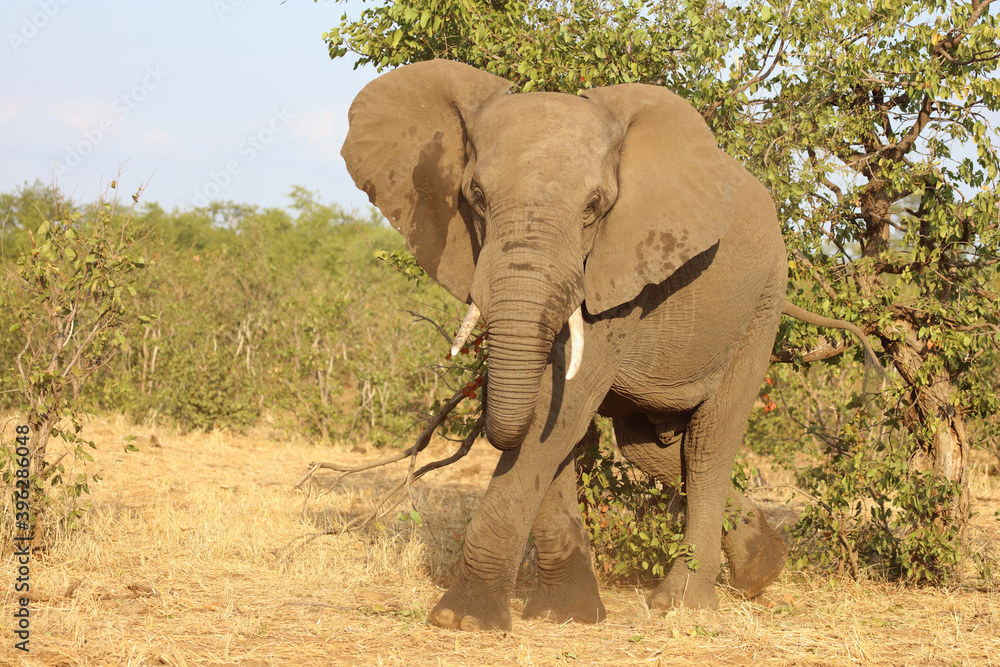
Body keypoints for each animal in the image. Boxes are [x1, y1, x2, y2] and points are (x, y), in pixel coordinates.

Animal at [340, 59, 881, 631]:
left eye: (593, 208)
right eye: (476, 198)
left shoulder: (622, 270)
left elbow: (564, 407)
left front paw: (462, 620)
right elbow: (555, 423)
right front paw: (568, 615)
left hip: (761, 306)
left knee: (709, 443)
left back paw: (681, 602)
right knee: (652, 449)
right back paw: (762, 570)